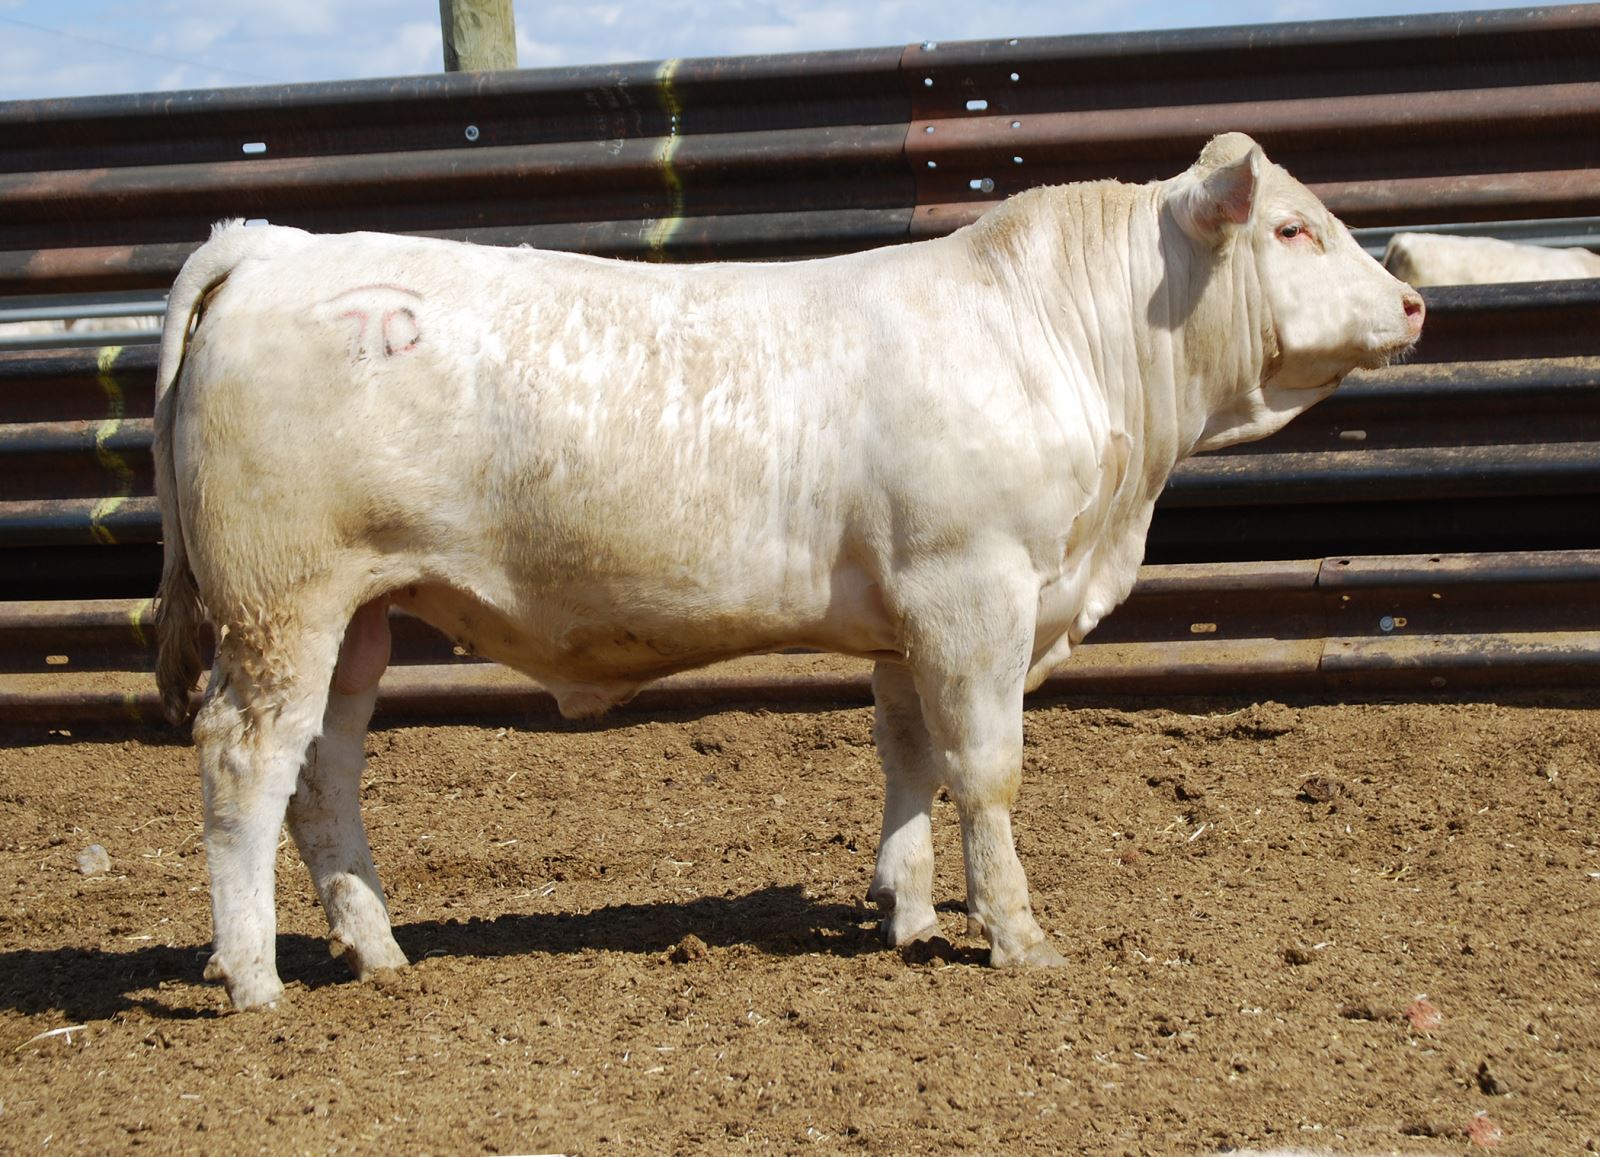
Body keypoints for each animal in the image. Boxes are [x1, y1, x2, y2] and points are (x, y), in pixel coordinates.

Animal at [153, 132, 1423, 1009]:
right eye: (1293, 230)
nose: (1413, 298)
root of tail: (273, 244)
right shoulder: (975, 590)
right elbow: (986, 771)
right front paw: (1014, 934)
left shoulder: (911, 615)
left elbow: (909, 760)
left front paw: (909, 913)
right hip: (281, 601)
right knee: (244, 762)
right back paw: (253, 975)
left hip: (357, 612)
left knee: (325, 769)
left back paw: (377, 948)